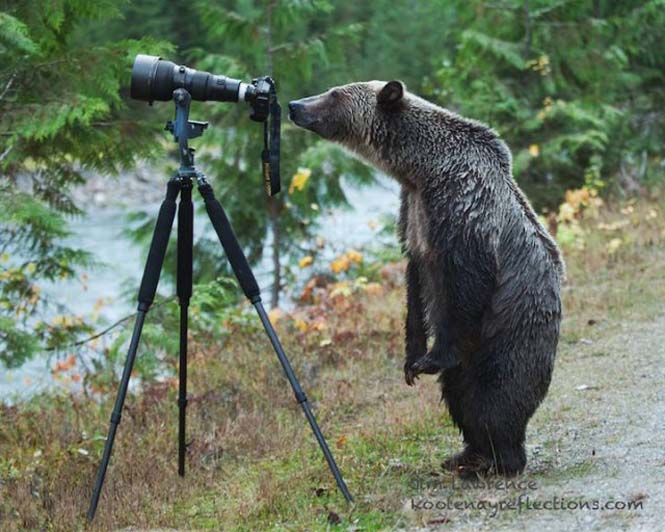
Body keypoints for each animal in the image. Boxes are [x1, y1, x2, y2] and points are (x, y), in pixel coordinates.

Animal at [288, 80, 564, 478]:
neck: (420, 170)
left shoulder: (462, 208)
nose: (294, 105)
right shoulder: (413, 214)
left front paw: (430, 359)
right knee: (459, 395)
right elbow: (415, 287)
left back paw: (498, 459)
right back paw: (466, 454)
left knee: (495, 395)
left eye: (334, 93)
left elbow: (465, 284)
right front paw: (411, 360)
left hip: (510, 332)